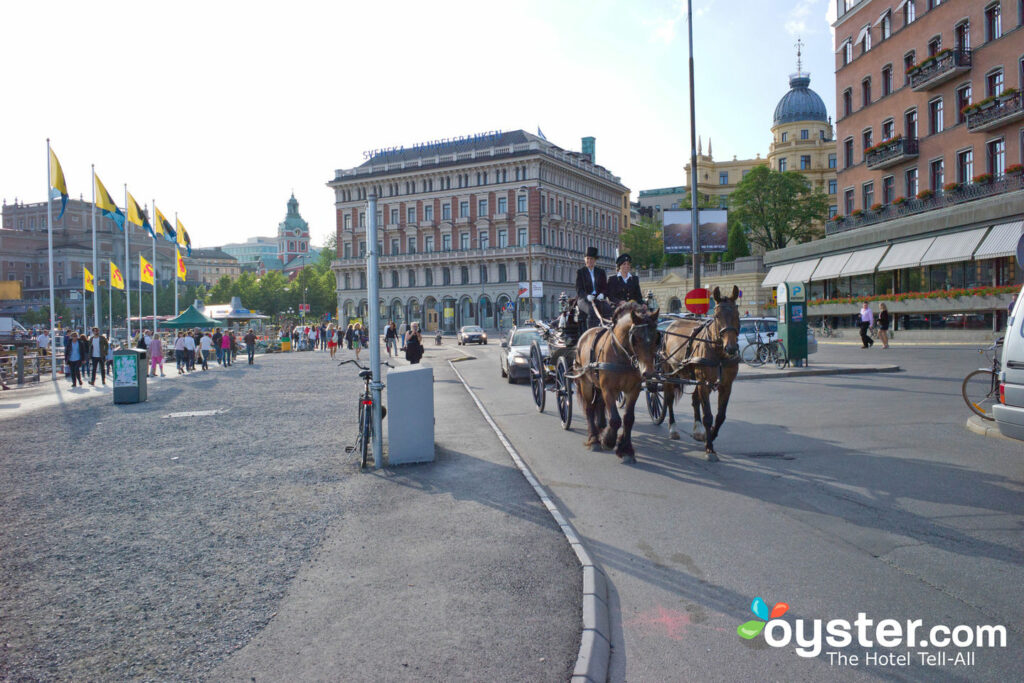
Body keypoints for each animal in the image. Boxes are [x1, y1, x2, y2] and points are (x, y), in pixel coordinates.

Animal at [573, 301, 659, 462]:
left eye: (657, 338)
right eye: (635, 338)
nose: (649, 372)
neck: (622, 355)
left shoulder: (634, 390)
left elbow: (628, 418)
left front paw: (626, 449)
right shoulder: (609, 389)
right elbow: (615, 419)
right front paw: (608, 440)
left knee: (599, 404)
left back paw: (600, 426)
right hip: (586, 382)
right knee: (589, 408)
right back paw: (594, 439)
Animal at [659, 286, 741, 462]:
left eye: (737, 315)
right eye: (717, 316)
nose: (731, 348)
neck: (719, 354)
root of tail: (671, 325)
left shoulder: (726, 385)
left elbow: (720, 416)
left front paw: (712, 436)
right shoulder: (704, 382)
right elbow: (708, 416)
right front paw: (710, 448)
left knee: (695, 400)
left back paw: (698, 430)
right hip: (669, 373)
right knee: (669, 399)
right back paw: (673, 428)